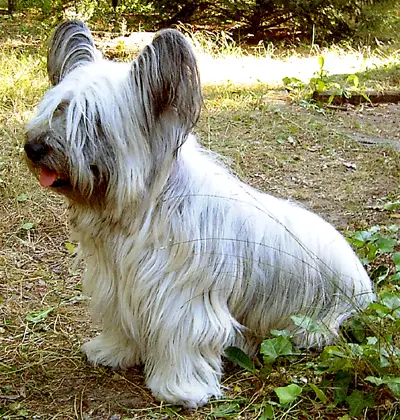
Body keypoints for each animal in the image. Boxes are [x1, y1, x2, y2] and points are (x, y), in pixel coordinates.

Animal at [25, 20, 374, 406]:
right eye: (57, 109)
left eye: (90, 120)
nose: (33, 148)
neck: (144, 209)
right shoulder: (117, 285)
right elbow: (121, 323)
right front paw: (112, 352)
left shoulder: (181, 300)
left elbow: (181, 340)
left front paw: (180, 389)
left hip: (312, 321)